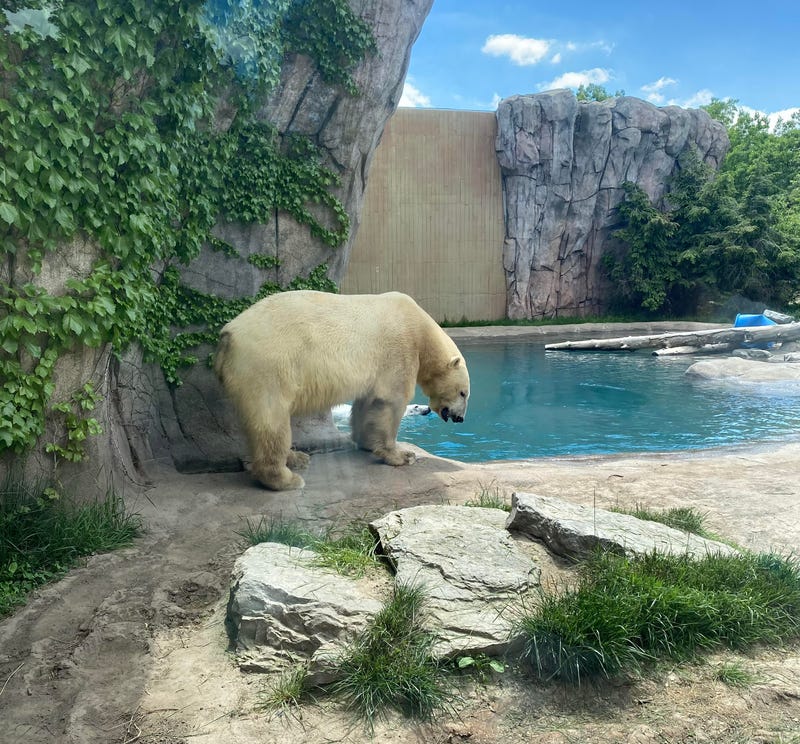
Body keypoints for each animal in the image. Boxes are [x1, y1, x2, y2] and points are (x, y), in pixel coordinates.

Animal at [214, 290, 470, 491]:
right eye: (463, 393)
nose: (460, 418)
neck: (420, 327)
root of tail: (229, 335)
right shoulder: (400, 347)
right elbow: (391, 400)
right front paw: (402, 456)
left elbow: (368, 403)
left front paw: (367, 443)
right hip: (269, 364)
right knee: (271, 419)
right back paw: (287, 478)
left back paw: (297, 458)